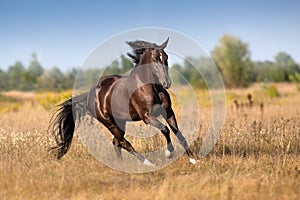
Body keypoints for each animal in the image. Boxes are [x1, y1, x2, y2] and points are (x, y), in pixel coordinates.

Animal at [49, 38, 197, 166]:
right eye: (154, 59)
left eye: (166, 58)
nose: (167, 83)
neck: (149, 87)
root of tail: (89, 96)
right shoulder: (147, 117)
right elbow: (165, 129)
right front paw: (169, 153)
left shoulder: (168, 112)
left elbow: (179, 134)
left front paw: (193, 160)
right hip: (109, 122)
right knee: (124, 143)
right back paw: (148, 164)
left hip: (120, 122)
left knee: (117, 142)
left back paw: (121, 164)